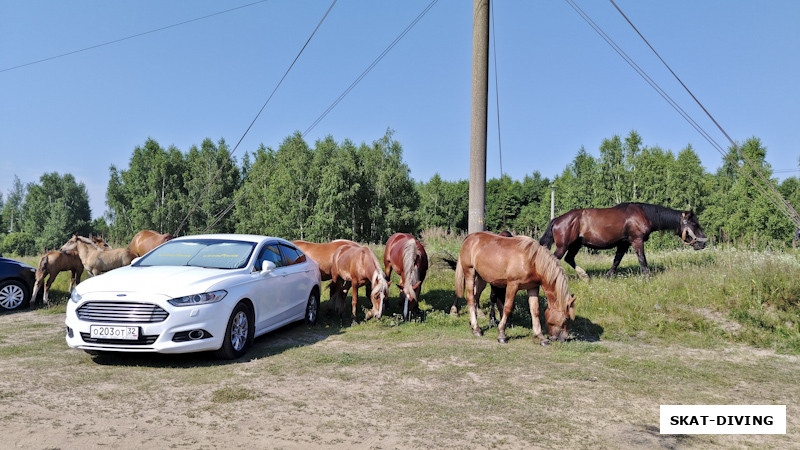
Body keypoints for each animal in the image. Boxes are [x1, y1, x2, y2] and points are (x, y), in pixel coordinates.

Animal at [536, 203, 708, 278]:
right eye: (694, 224)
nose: (703, 242)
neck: (644, 214)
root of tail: (557, 219)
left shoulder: (623, 244)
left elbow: (616, 261)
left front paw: (608, 276)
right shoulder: (636, 241)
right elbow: (642, 260)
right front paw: (647, 277)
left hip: (575, 245)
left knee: (569, 259)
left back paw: (584, 276)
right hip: (563, 245)